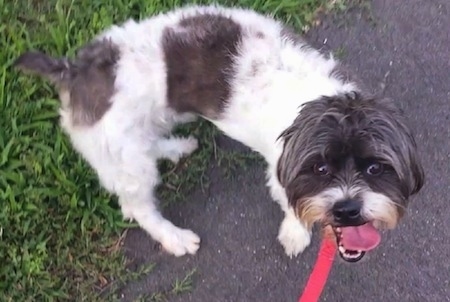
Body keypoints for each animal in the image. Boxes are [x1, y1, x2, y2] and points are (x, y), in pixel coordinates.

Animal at [14, 5, 422, 264]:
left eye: (374, 168)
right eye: (320, 170)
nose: (348, 210)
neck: (318, 100)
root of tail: (74, 70)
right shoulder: (282, 169)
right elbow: (289, 202)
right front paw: (296, 232)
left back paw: (175, 147)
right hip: (124, 153)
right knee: (136, 206)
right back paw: (174, 237)